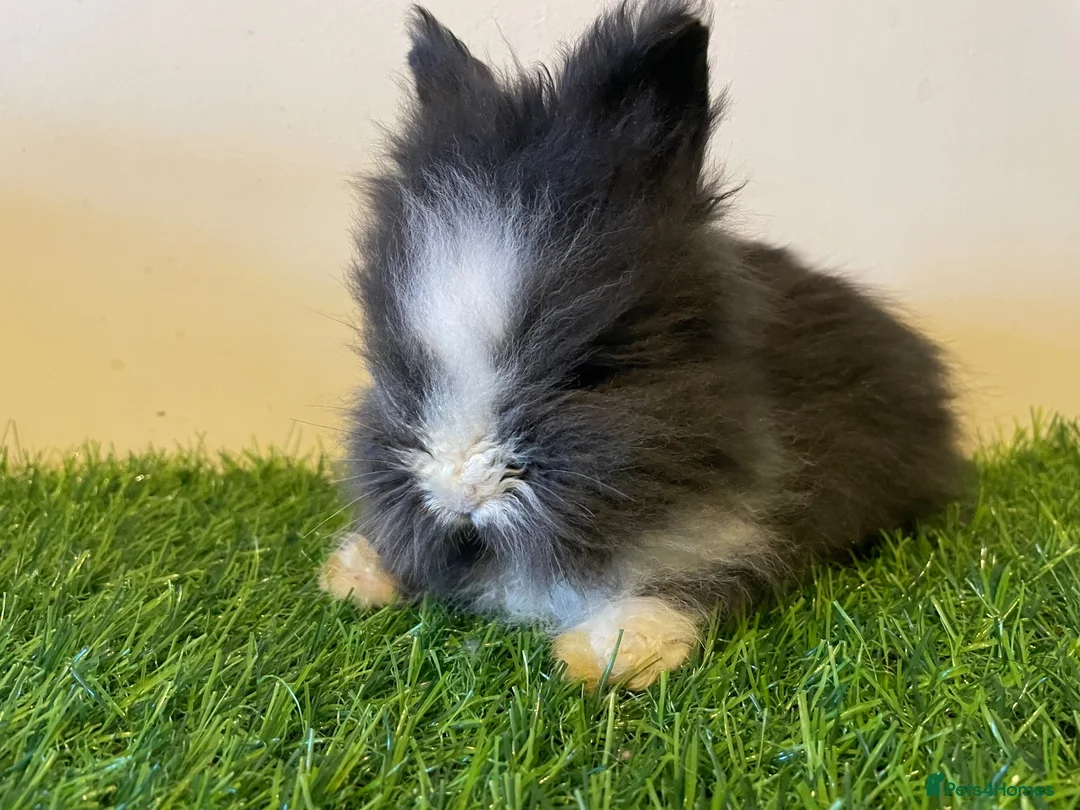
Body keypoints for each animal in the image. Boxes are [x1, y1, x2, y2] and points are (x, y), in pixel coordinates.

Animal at [319, 0, 966, 690]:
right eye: (401, 368)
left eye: (590, 373)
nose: (461, 494)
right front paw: (354, 574)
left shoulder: (737, 533)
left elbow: (675, 589)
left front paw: (600, 658)